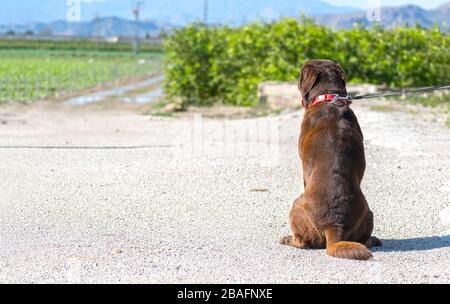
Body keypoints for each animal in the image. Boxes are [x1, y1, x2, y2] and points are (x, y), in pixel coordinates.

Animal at [280, 60, 382, 262]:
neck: (329, 99)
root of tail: (334, 225)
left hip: (296, 206)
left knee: (302, 242)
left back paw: (287, 239)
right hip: (369, 213)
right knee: (364, 240)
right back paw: (374, 239)